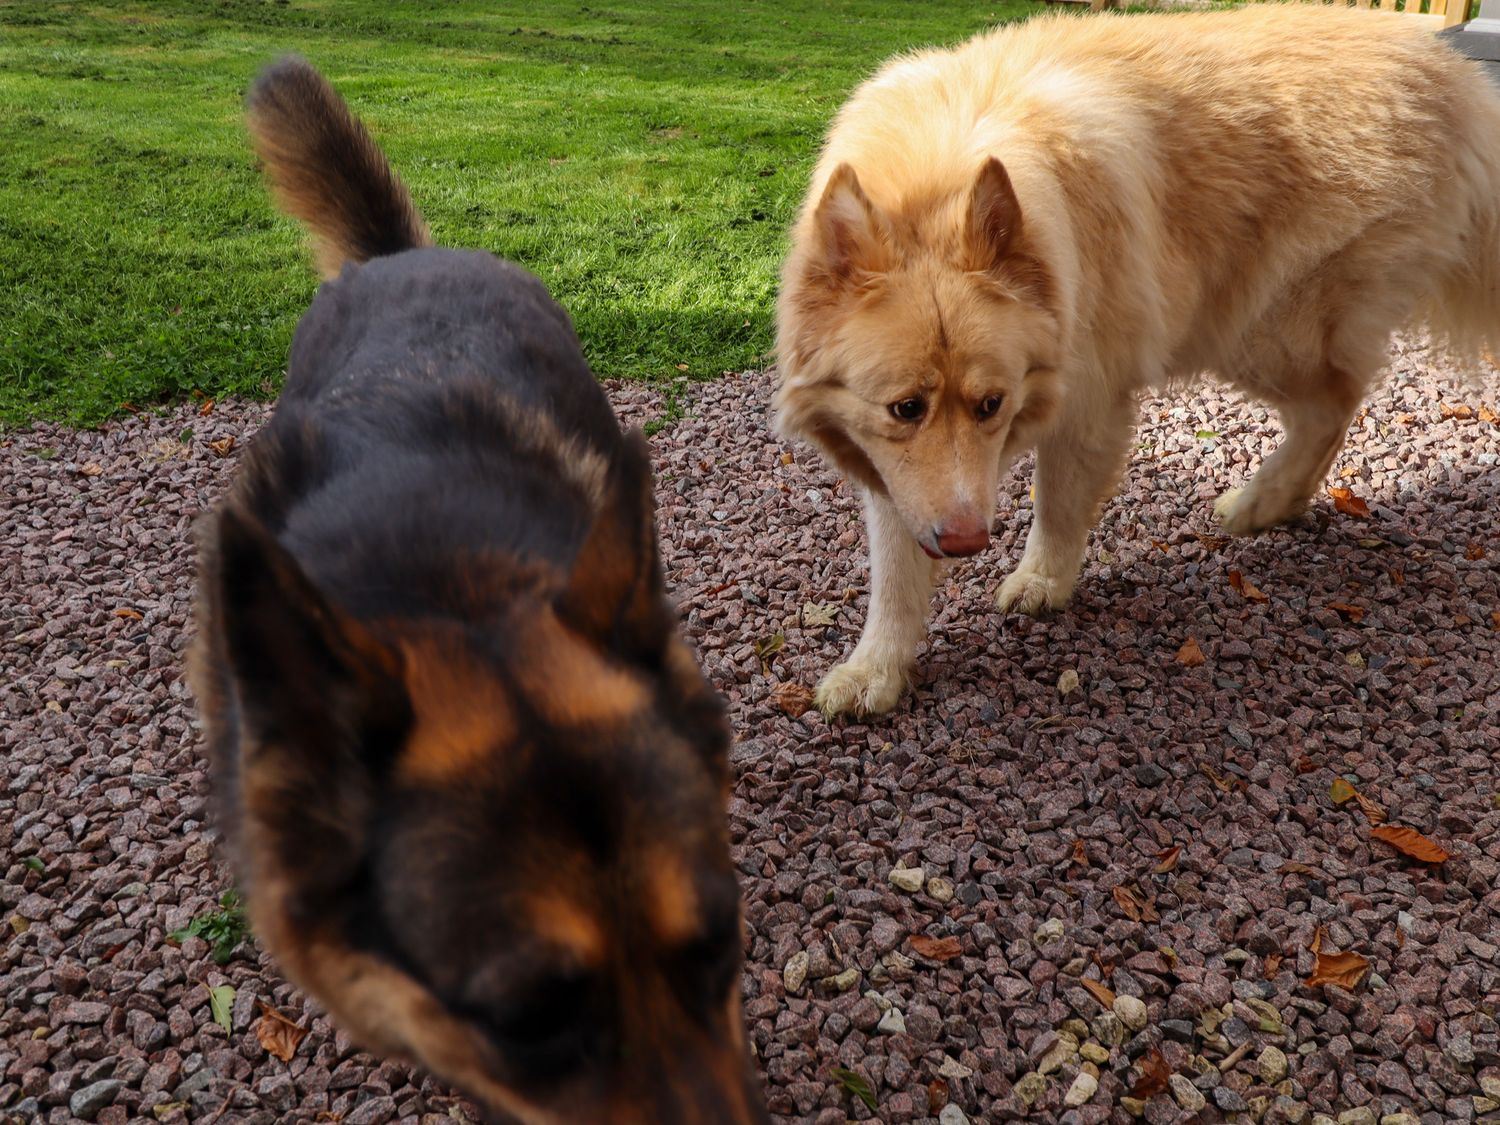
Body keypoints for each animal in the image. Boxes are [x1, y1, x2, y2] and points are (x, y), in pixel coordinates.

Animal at [774, 4, 1500, 717]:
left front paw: (1043, 580)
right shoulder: (898, 466)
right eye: (906, 408)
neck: (935, 176)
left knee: (1333, 404)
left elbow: (1058, 503)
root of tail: (1450, 71)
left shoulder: (1089, 400)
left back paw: (1264, 500)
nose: (966, 542)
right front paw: (875, 669)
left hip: (1262, 330)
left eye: (991, 405)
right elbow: (896, 567)